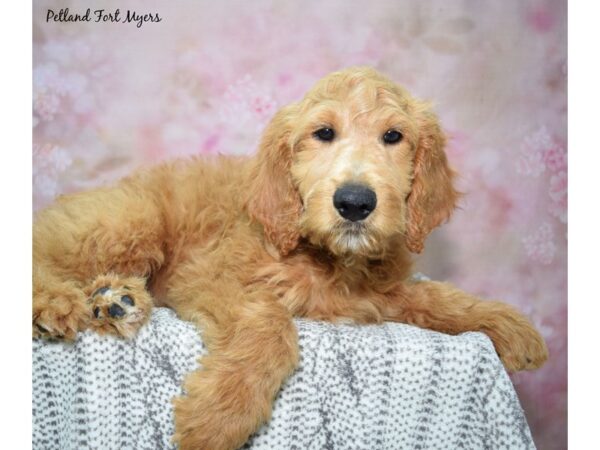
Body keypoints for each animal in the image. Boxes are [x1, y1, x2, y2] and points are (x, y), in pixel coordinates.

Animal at [32, 67, 548, 450]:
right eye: (323, 133)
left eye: (393, 136)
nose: (355, 202)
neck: (333, 259)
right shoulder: (210, 276)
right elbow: (271, 327)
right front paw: (218, 418)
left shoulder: (382, 293)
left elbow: (434, 296)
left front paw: (507, 325)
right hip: (129, 221)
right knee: (45, 255)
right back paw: (61, 302)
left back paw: (114, 299)